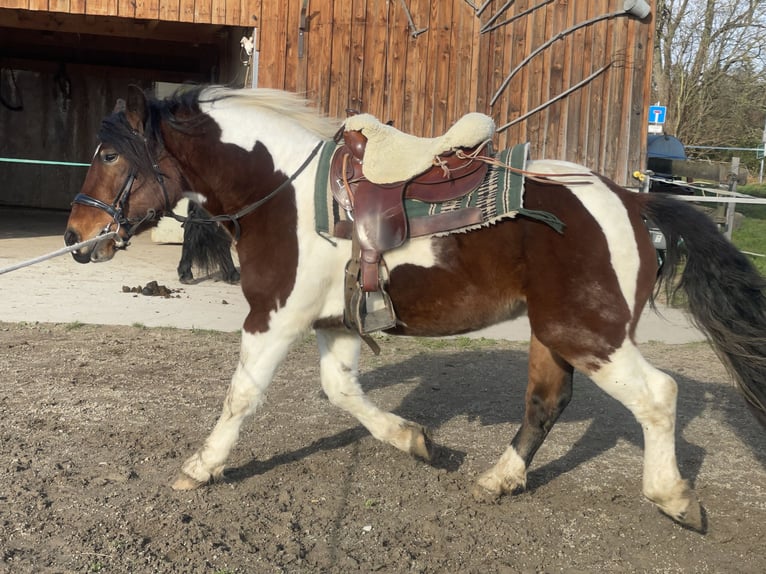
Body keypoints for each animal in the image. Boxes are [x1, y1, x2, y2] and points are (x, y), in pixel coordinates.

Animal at [64, 86, 766, 536]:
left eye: (109, 155)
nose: (75, 236)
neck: (283, 192)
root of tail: (632, 201)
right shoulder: (335, 324)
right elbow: (342, 392)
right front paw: (418, 442)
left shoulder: (274, 319)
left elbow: (242, 396)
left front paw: (200, 468)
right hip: (553, 331)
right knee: (547, 402)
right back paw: (498, 479)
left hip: (589, 333)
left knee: (658, 395)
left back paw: (674, 499)